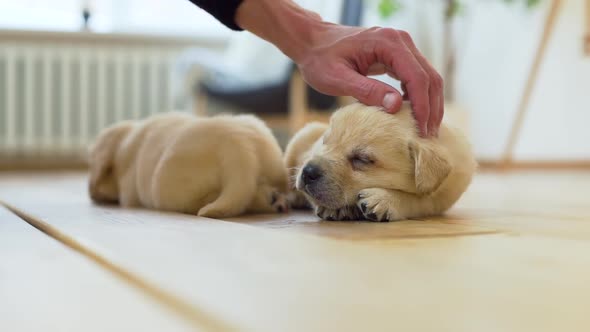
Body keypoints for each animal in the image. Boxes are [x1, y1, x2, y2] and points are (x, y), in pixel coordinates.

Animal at [284, 102, 478, 222]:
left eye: (362, 159)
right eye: (325, 141)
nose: (308, 172)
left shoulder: (444, 194)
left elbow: (421, 200)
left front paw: (385, 199)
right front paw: (337, 208)